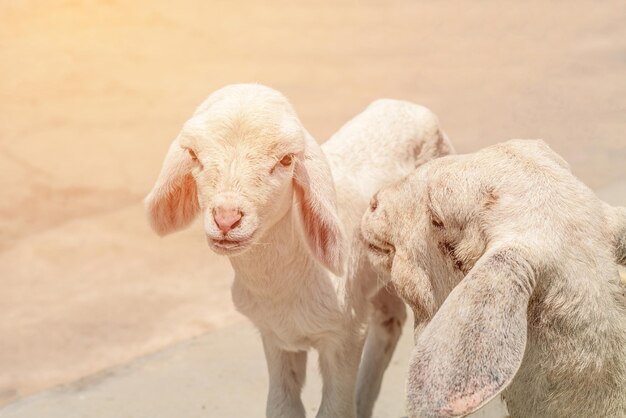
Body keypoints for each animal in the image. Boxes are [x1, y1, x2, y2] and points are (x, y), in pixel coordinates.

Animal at [144, 84, 450, 418]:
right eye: (193, 155)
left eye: (287, 159)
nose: (226, 218)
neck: (283, 288)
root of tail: (407, 105)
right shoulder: (275, 336)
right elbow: (283, 406)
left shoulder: (344, 334)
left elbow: (334, 410)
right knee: (389, 319)